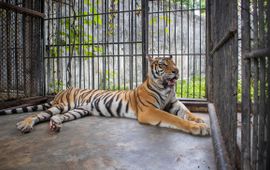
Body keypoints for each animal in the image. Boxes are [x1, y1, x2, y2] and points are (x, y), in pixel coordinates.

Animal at [0, 55, 211, 135]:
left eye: (173, 63)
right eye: (163, 64)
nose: (176, 71)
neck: (165, 88)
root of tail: (62, 90)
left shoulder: (175, 103)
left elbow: (186, 112)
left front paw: (199, 120)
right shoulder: (149, 111)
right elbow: (174, 119)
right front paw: (198, 127)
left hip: (78, 110)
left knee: (58, 117)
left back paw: (55, 125)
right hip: (61, 105)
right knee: (38, 115)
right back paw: (25, 124)